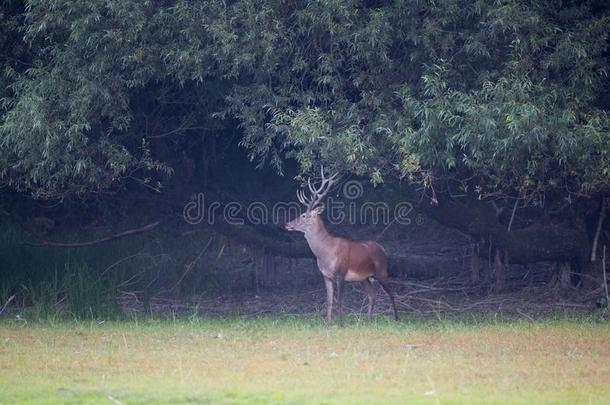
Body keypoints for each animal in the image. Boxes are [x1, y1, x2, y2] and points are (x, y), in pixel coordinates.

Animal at [284, 167, 400, 326]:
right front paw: (327, 324)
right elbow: (329, 301)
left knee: (392, 292)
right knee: (373, 295)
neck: (325, 253)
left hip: (382, 271)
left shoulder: (341, 273)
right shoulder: (326, 276)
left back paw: (396, 319)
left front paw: (341, 324)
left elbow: (340, 300)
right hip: (365, 278)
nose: (287, 224)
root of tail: (382, 248)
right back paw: (368, 320)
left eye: (303, 216)